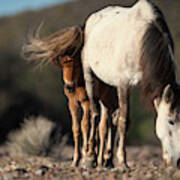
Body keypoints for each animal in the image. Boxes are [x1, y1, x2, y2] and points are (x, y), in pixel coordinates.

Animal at [21, 24, 119, 167]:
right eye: (62, 62)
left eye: (77, 61)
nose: (69, 86)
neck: (79, 82)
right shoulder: (73, 103)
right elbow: (76, 128)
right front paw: (77, 159)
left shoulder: (86, 102)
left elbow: (85, 125)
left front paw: (86, 155)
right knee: (101, 125)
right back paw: (99, 157)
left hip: (109, 99)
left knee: (108, 125)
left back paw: (104, 159)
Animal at [82, 0, 180, 169]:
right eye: (171, 121)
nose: (179, 161)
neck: (141, 39)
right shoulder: (124, 84)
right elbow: (124, 120)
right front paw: (122, 161)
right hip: (90, 77)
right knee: (95, 114)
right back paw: (90, 157)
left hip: (109, 86)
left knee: (107, 120)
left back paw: (106, 160)